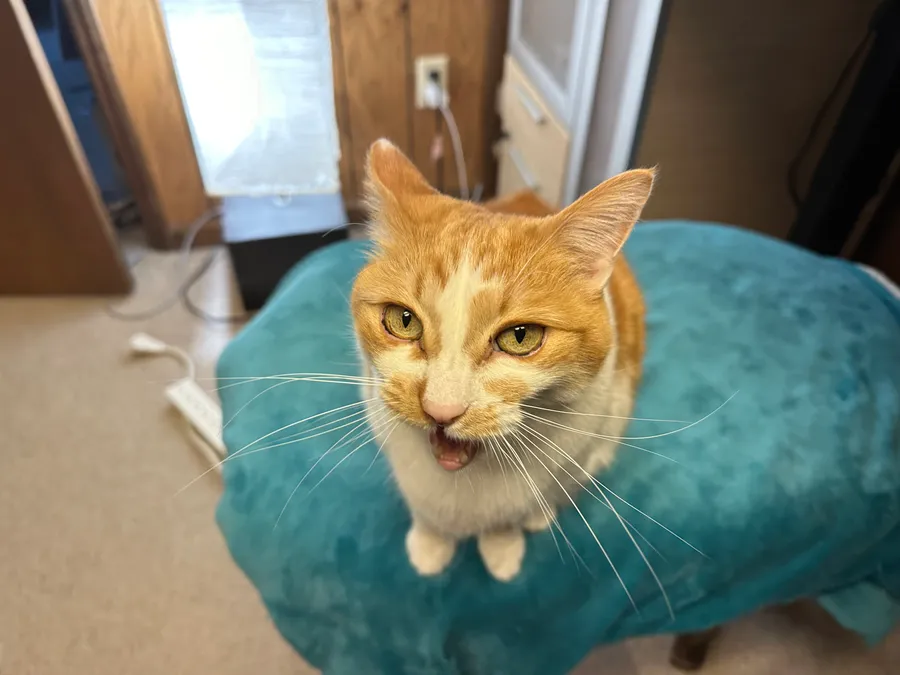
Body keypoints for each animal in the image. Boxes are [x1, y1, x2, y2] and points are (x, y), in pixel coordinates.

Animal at [348, 140, 652, 584]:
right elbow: (426, 513)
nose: (440, 410)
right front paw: (430, 544)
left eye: (520, 337)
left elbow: (512, 516)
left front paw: (503, 548)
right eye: (403, 320)